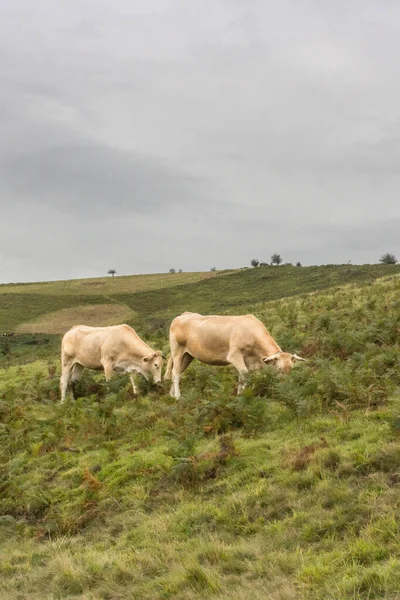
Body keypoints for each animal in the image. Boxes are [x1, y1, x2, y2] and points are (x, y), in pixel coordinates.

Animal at [166, 314, 306, 398]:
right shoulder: (234, 356)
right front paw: (242, 395)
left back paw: (171, 395)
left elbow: (241, 378)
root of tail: (183, 315)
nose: (287, 386)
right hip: (177, 351)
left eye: (291, 368)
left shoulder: (248, 360)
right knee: (175, 373)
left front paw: (240, 395)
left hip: (188, 356)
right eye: (280, 369)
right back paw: (178, 397)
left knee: (177, 372)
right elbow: (244, 374)